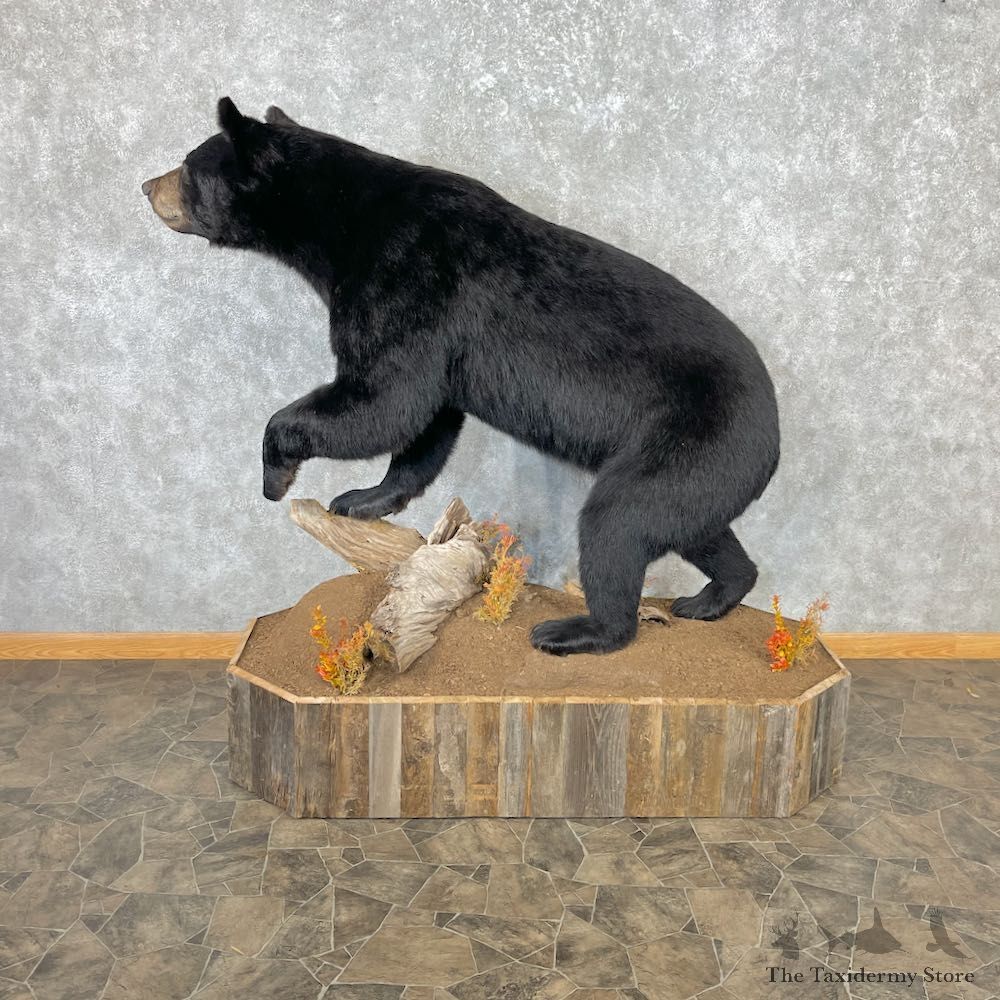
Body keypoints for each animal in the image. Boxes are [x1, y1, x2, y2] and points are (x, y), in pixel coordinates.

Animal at [142, 97, 780, 656]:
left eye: (189, 165)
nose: (147, 186)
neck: (339, 221)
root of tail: (774, 432)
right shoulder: (433, 334)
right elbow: (425, 419)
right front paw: (364, 499)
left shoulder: (407, 279)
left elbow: (383, 398)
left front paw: (277, 475)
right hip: (704, 466)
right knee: (690, 525)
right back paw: (712, 596)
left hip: (694, 434)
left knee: (619, 523)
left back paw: (579, 631)